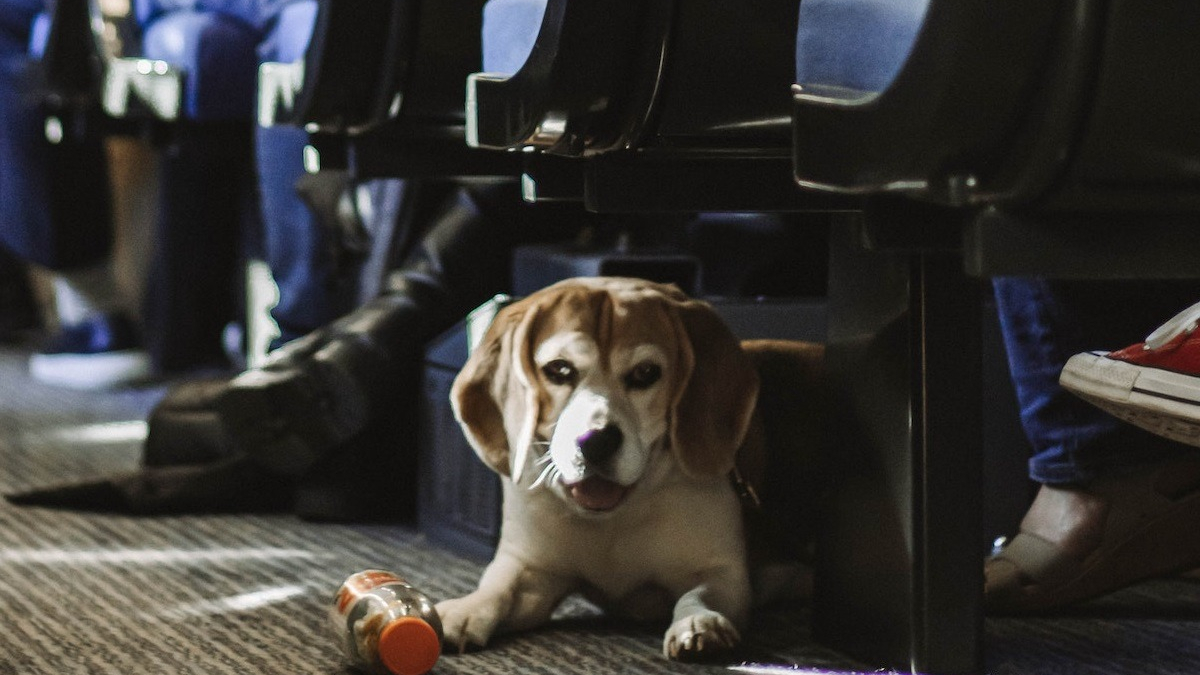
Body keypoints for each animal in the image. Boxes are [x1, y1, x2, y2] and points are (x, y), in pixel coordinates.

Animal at [439, 273, 825, 658]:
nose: (596, 442)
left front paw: (699, 624)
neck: (614, 519)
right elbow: (497, 590)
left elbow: (699, 595)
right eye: (559, 370)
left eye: (645, 373)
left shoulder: (722, 573)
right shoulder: (528, 570)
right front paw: (463, 611)